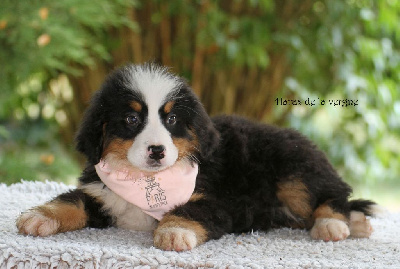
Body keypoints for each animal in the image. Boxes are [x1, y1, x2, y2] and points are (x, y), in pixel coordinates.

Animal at [16, 62, 376, 251]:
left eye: (172, 119)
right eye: (131, 119)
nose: (157, 150)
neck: (147, 182)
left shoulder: (217, 200)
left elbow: (190, 209)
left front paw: (174, 231)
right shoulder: (102, 193)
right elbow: (72, 200)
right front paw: (41, 216)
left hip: (294, 171)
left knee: (335, 193)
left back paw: (334, 224)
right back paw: (356, 223)